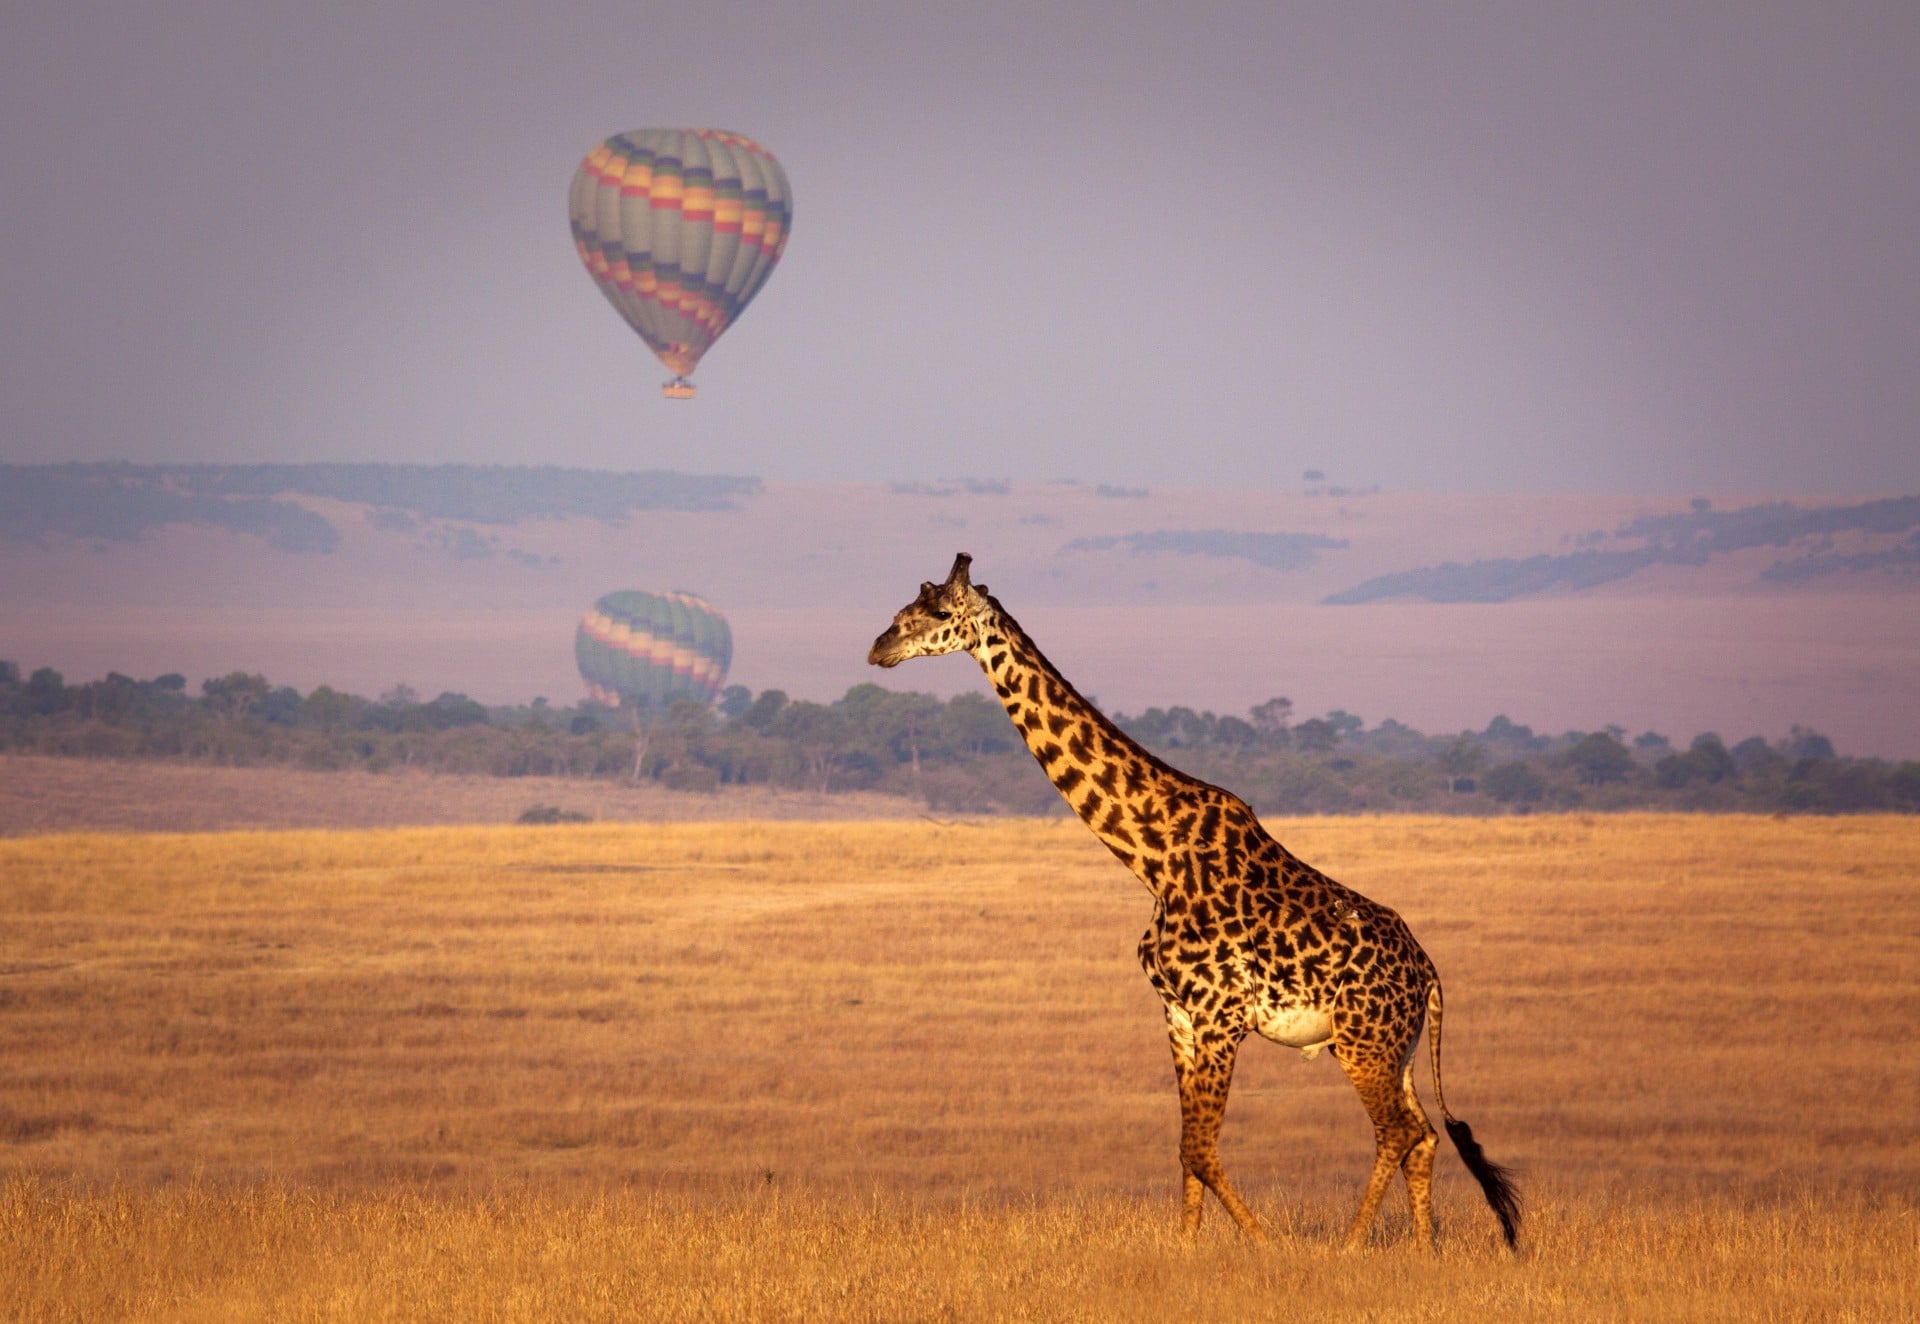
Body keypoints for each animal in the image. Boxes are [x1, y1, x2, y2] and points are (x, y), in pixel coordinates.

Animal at [868, 554, 1520, 1251]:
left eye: (938, 612)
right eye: (905, 606)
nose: (880, 648)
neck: (1153, 857)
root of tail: (1429, 974)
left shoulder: (1218, 1015)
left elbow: (1203, 1150)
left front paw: (1266, 1244)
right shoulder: (1178, 1014)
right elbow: (1186, 1151)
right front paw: (1187, 1247)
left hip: (1361, 1042)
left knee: (1399, 1131)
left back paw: (1349, 1246)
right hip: (1394, 1047)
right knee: (1423, 1135)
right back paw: (1423, 1248)